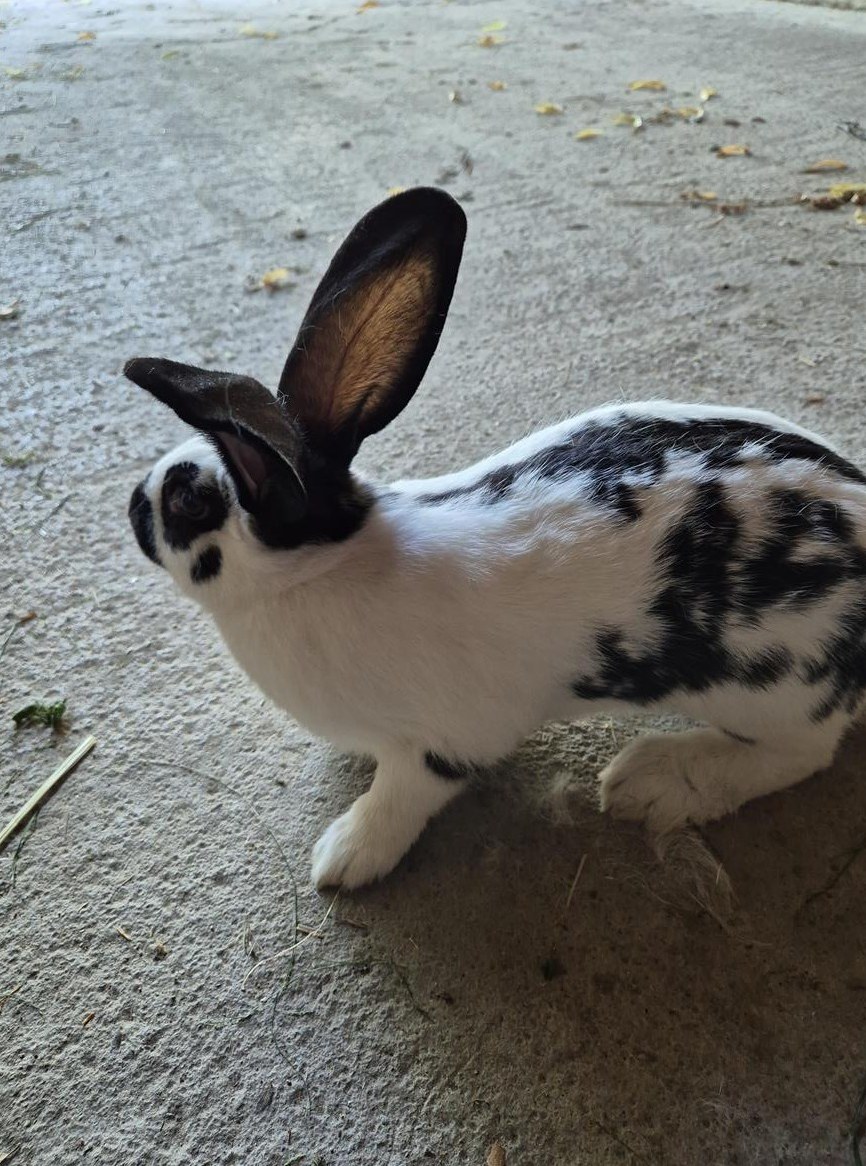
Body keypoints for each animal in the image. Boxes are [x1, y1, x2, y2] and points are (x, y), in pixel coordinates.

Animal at [125, 186, 866, 890]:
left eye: (189, 498)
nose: (133, 506)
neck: (322, 567)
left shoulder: (441, 740)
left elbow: (399, 797)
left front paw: (345, 857)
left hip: (774, 692)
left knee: (802, 754)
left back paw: (650, 782)